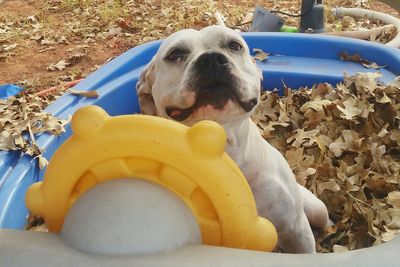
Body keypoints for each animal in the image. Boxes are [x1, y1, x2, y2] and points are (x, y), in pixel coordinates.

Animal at [134, 25, 328, 253]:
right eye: (175, 54)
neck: (222, 145)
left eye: (234, 45)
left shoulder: (295, 228)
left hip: (317, 209)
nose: (210, 59)